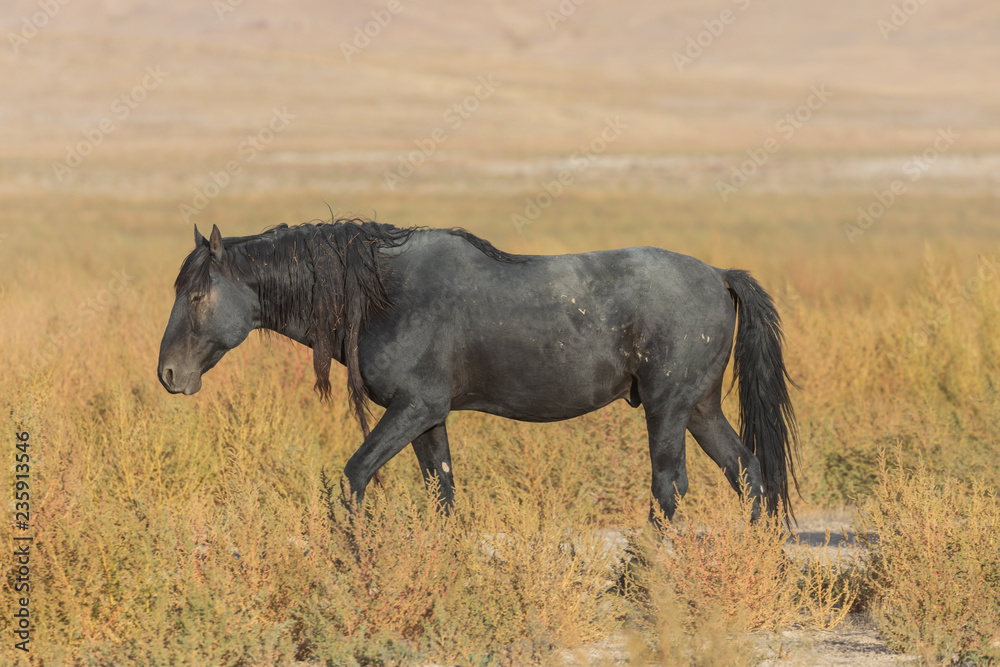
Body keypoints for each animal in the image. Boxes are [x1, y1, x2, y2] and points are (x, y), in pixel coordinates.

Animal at [157, 219, 797, 522]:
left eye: (197, 295)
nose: (167, 374)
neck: (384, 294)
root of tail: (718, 274)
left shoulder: (412, 409)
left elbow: (355, 476)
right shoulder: (428, 417)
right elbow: (441, 491)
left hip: (667, 409)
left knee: (669, 488)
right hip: (700, 408)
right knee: (749, 475)